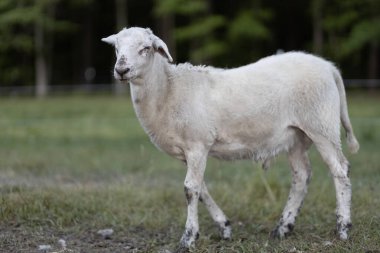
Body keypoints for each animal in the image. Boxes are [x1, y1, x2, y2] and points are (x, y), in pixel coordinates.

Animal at [101, 26, 360, 250]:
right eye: (116, 48)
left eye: (146, 48)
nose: (121, 70)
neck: (168, 91)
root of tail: (329, 68)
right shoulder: (189, 152)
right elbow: (201, 189)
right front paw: (224, 227)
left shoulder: (197, 145)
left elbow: (190, 189)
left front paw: (188, 238)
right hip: (296, 136)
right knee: (301, 176)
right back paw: (283, 228)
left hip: (321, 125)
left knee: (340, 170)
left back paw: (343, 228)